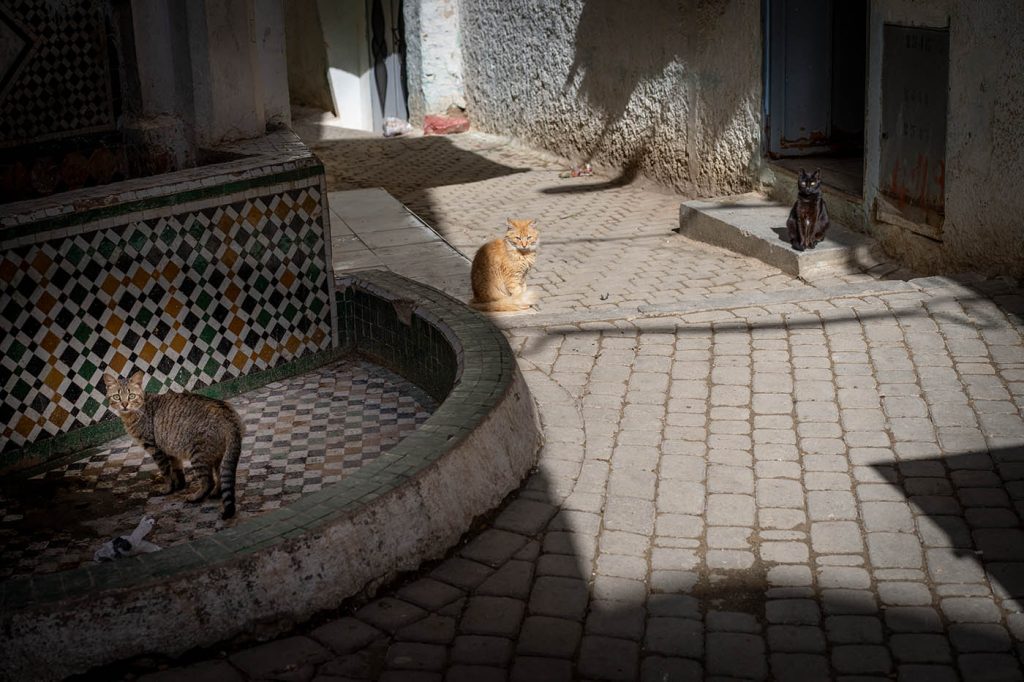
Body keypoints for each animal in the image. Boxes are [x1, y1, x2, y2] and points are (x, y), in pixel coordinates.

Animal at [103, 368, 243, 518]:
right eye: (117, 397)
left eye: (132, 396)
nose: (124, 405)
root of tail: (230, 417)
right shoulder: (170, 447)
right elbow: (177, 469)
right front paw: (179, 485)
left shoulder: (155, 448)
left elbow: (166, 472)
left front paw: (168, 489)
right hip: (217, 455)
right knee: (220, 476)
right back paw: (216, 493)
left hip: (198, 454)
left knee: (208, 481)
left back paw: (196, 497)